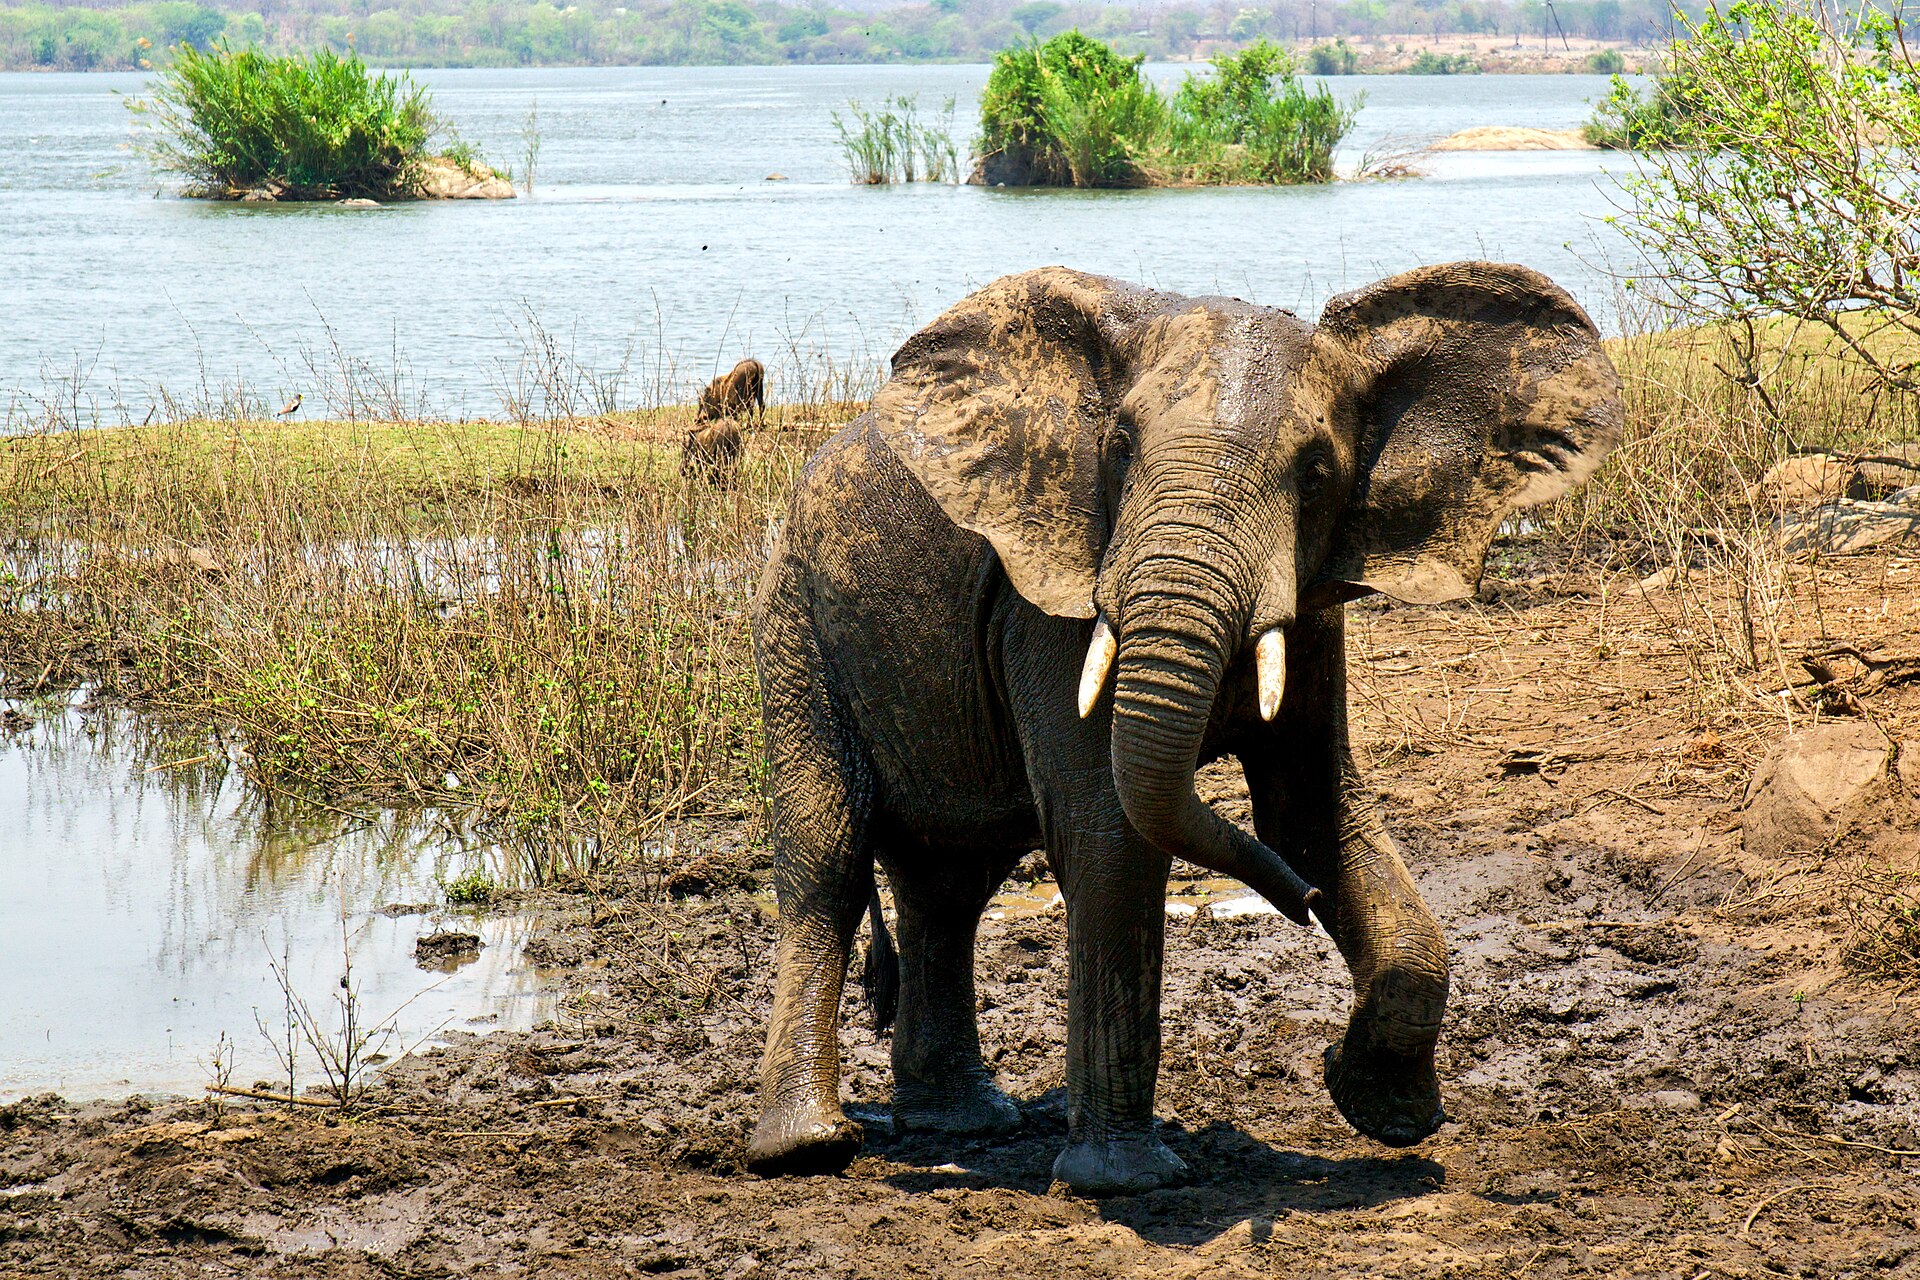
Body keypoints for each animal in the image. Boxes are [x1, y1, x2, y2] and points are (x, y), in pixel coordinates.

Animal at [745, 264, 1622, 1195]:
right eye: (1120, 447)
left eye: (1317, 472)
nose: (1303, 904)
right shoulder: (1056, 598)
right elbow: (1112, 837)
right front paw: (1128, 1183)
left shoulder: (1311, 603)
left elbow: (1313, 815)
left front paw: (1381, 1109)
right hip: (795, 622)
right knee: (828, 863)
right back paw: (807, 1149)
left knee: (949, 883)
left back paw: (965, 1123)